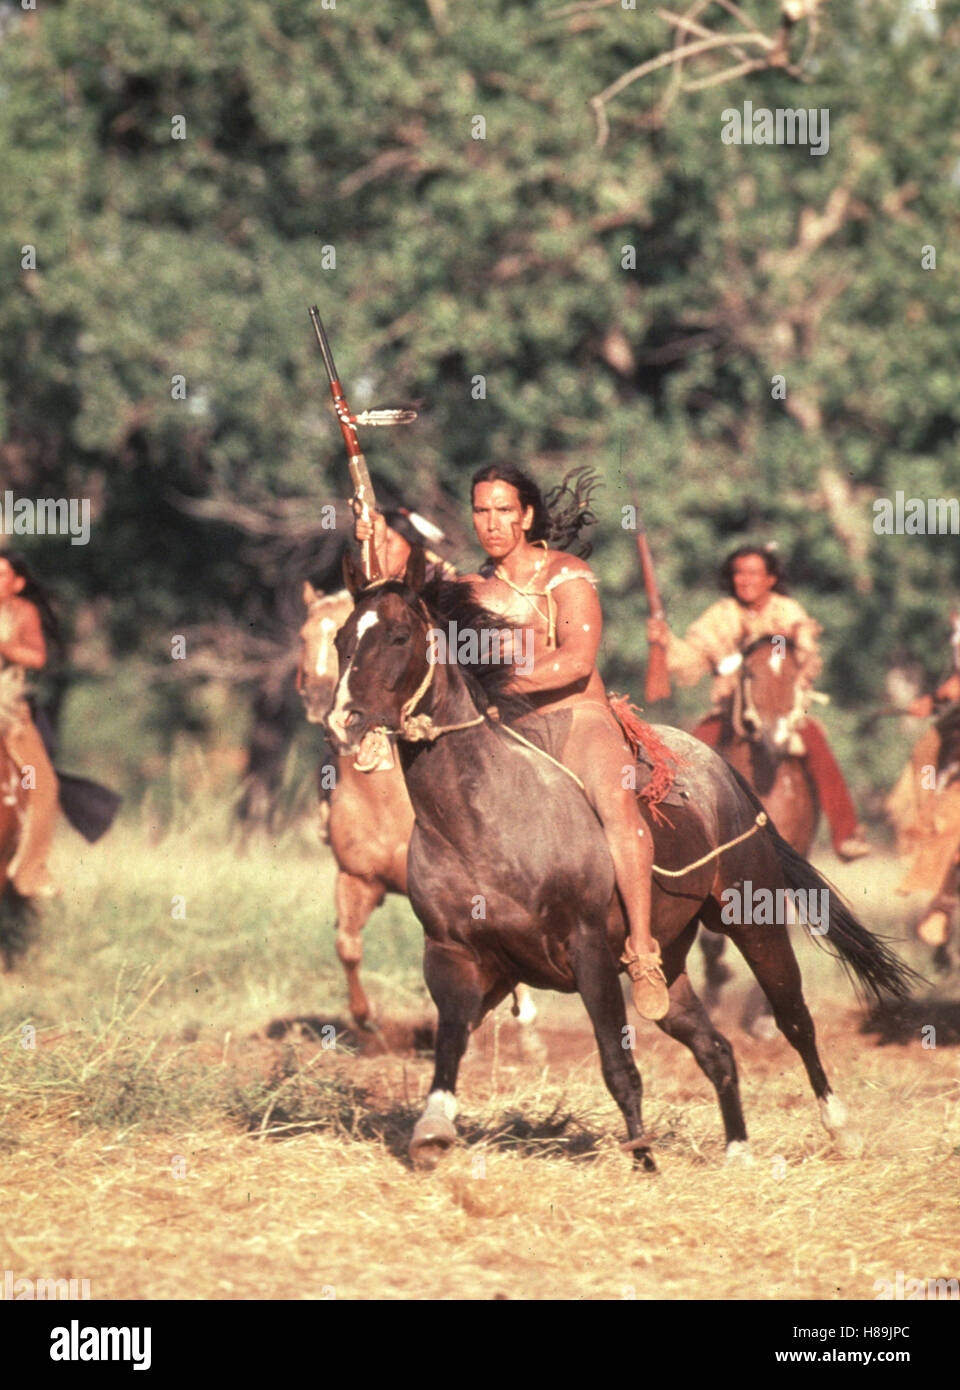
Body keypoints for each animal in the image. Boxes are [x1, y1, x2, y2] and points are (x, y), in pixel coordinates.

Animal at [325, 553, 916, 1173]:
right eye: (342, 638)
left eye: (398, 636)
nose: (343, 721)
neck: (484, 819)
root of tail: (725, 773)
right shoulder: (454, 956)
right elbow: (449, 1045)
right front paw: (432, 1131)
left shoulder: (588, 951)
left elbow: (616, 1062)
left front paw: (644, 1159)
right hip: (668, 966)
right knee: (715, 1048)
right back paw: (737, 1150)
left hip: (755, 923)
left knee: (794, 1018)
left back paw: (840, 1128)